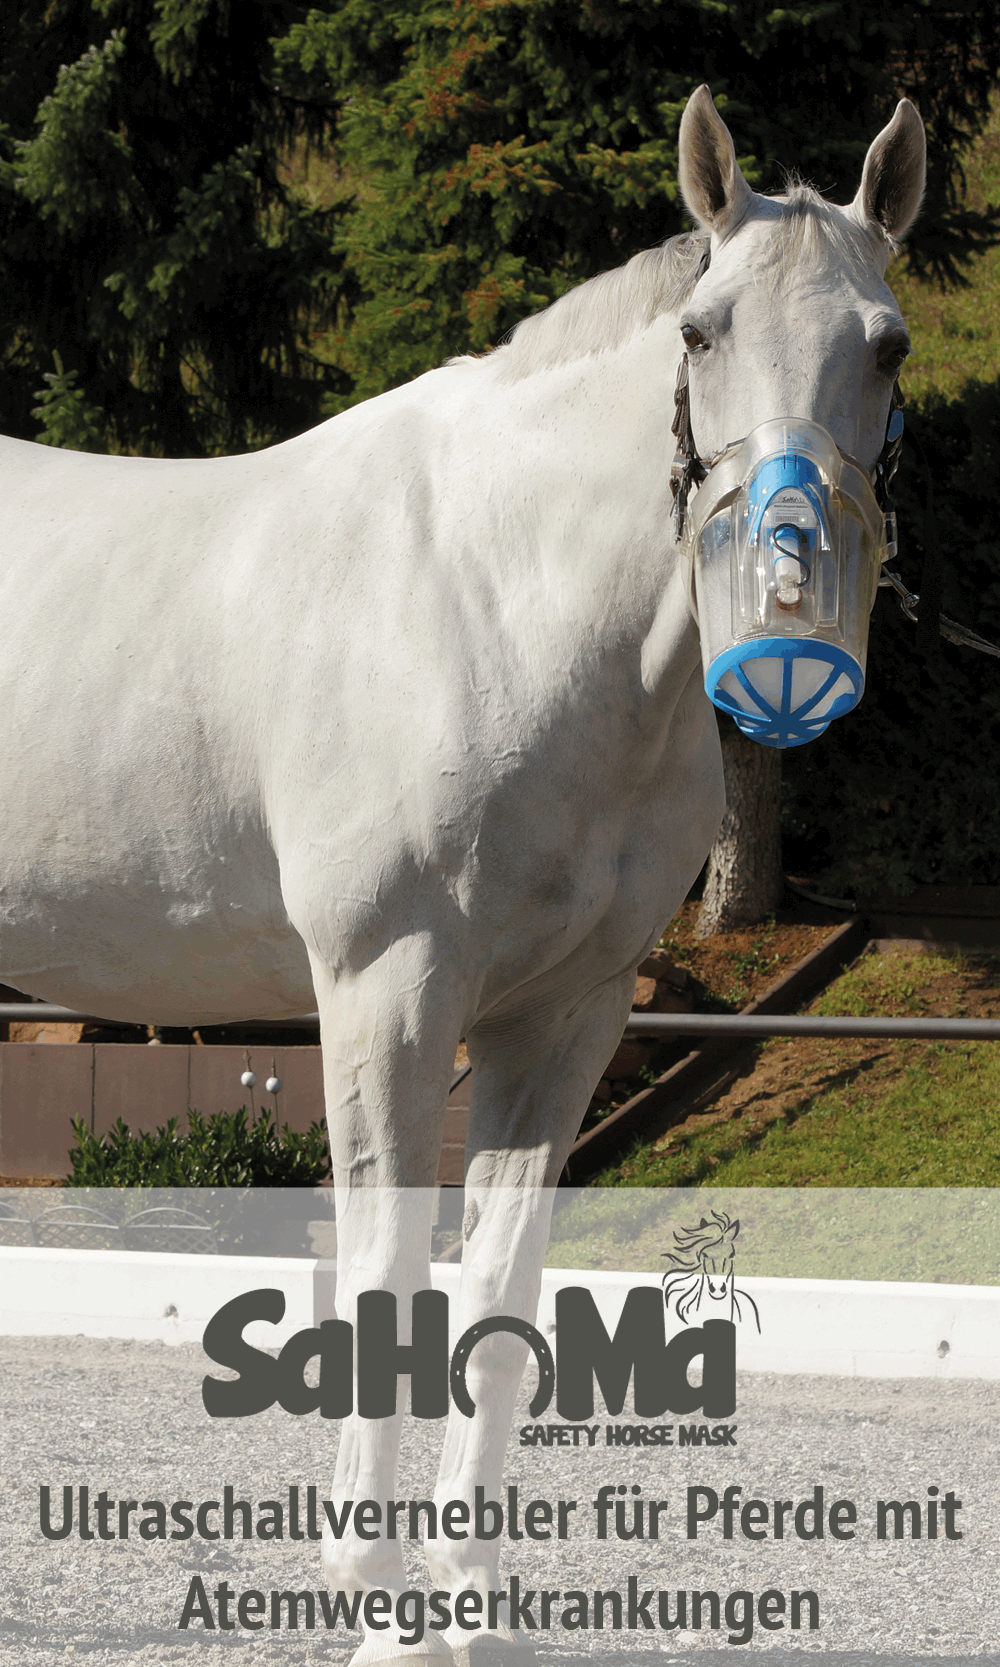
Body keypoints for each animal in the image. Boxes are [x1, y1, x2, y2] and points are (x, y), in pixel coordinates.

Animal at [0, 85, 924, 1665]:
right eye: (701, 332)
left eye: (889, 344)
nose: (789, 617)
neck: (497, 597)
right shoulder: (388, 989)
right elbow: (385, 1274)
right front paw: (373, 1602)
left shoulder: (566, 1012)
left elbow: (497, 1286)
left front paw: (467, 1602)